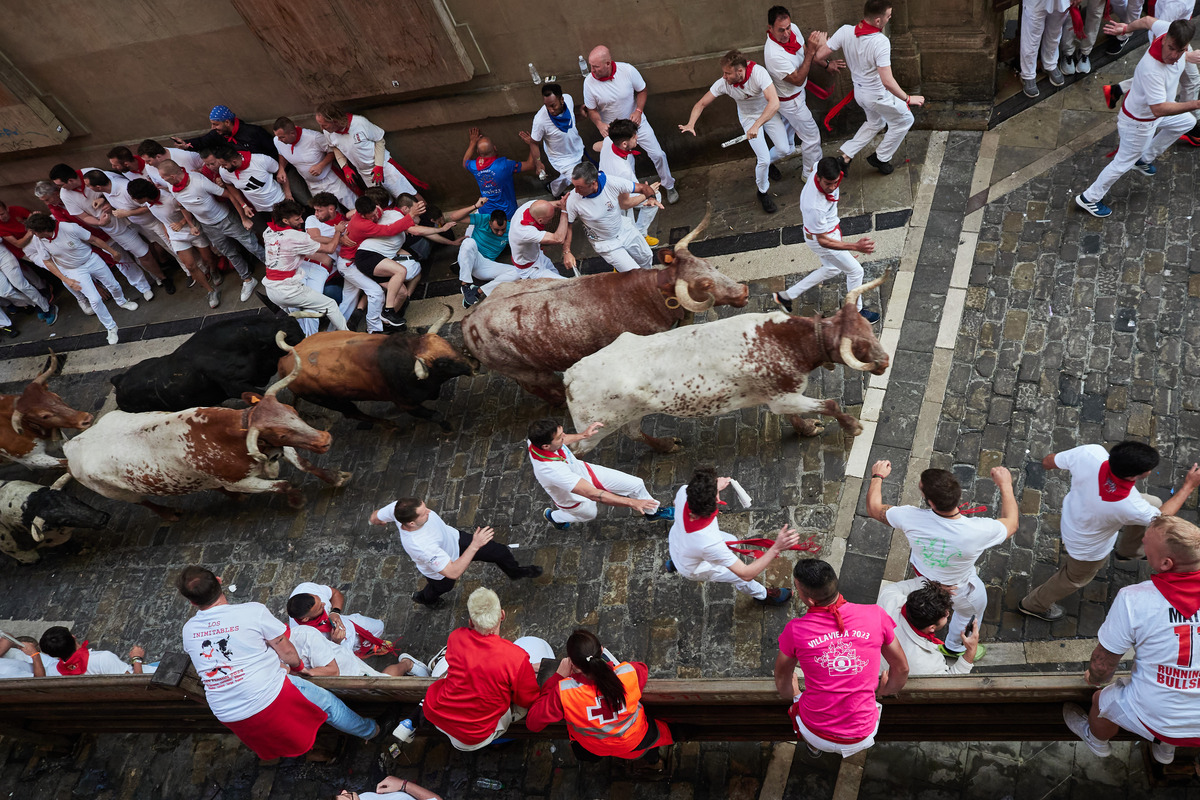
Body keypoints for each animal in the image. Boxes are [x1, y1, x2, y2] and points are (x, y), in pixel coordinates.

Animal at [61, 335, 350, 520]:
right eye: (279, 432)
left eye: (292, 412)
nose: (325, 439)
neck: (226, 438)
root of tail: (71, 445)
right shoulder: (245, 481)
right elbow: (283, 484)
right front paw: (297, 500)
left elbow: (305, 463)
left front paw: (335, 477)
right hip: (120, 494)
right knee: (144, 501)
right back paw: (170, 514)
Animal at [276, 307, 472, 431]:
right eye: (442, 363)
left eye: (448, 344)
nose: (473, 365)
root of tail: (287, 357)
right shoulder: (406, 403)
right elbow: (434, 415)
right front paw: (447, 427)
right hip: (333, 401)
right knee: (353, 413)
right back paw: (389, 425)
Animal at [460, 206, 748, 407]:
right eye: (704, 284)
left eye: (709, 265)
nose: (743, 292)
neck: (648, 296)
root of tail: (468, 322)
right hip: (528, 373)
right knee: (545, 388)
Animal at [561, 275, 892, 453]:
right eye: (861, 346)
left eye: (867, 325)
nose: (886, 360)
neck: (784, 340)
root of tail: (571, 375)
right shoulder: (783, 397)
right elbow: (831, 404)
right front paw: (852, 426)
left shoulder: (779, 398)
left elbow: (798, 415)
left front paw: (807, 428)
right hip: (593, 432)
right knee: (573, 451)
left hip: (630, 414)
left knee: (633, 432)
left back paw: (666, 446)